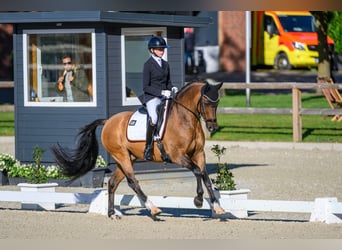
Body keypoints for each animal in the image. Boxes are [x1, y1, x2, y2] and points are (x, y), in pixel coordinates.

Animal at [51, 80, 227, 219]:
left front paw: (217, 207)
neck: (185, 119)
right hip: (122, 156)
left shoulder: (199, 154)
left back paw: (112, 214)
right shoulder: (177, 156)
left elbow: (205, 177)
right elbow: (197, 171)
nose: (212, 127)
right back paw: (153, 208)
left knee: (113, 183)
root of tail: (108, 121)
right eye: (206, 102)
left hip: (127, 158)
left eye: (217, 103)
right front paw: (198, 200)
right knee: (133, 182)